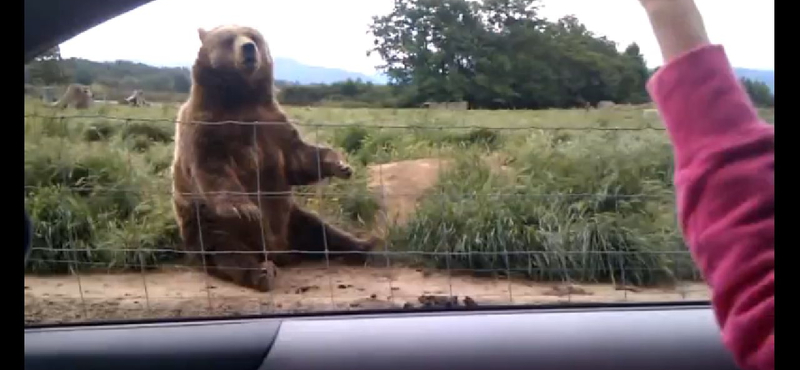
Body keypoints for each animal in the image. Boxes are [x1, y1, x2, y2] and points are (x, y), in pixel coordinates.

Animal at [170, 25, 382, 292]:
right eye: (228, 39)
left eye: (254, 37)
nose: (248, 48)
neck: (239, 98)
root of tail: (280, 252)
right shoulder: (205, 128)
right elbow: (213, 170)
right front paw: (245, 208)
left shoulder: (272, 123)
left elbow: (298, 159)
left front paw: (340, 164)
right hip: (207, 224)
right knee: (226, 251)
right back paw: (262, 272)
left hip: (292, 219)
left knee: (321, 231)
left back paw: (366, 246)